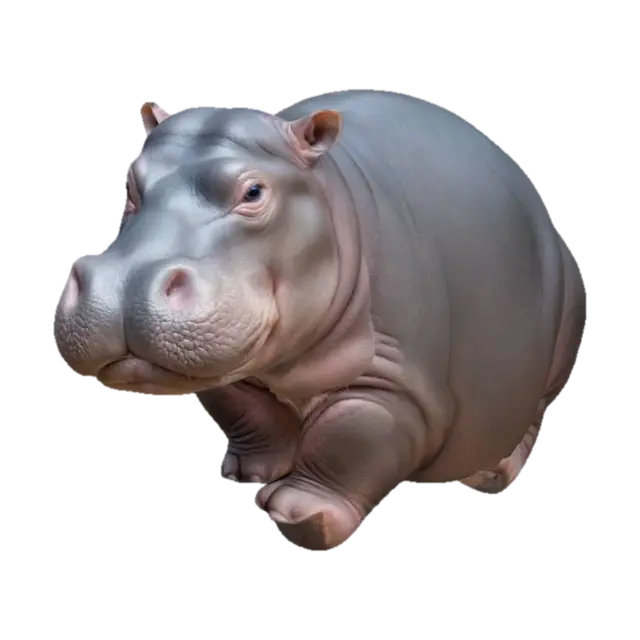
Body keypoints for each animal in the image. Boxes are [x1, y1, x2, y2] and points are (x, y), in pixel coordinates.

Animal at [53, 90, 586, 551]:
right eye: (128, 187)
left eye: (253, 191)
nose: (122, 285)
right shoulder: (229, 366)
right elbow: (246, 408)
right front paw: (246, 475)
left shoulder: (394, 381)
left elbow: (350, 434)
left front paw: (299, 515)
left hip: (559, 336)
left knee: (531, 413)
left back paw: (493, 474)